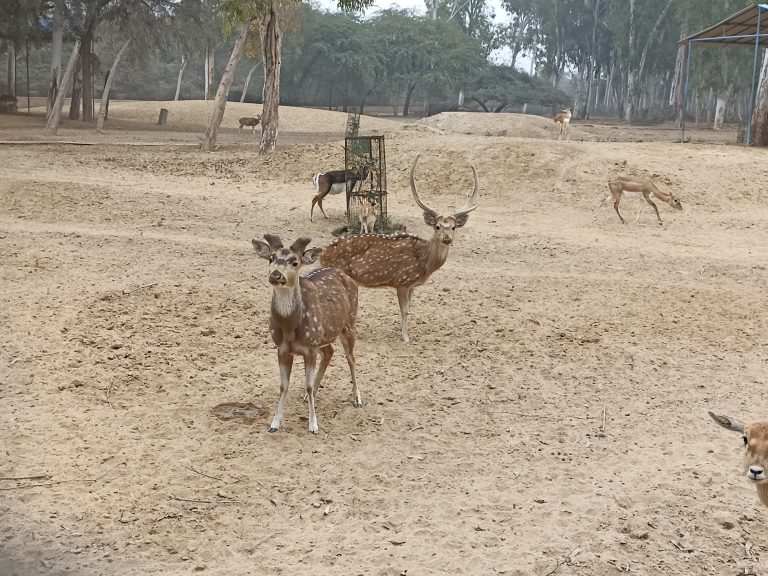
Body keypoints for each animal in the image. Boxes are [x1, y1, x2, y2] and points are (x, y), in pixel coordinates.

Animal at [250, 233, 362, 432]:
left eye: (295, 262)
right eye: (271, 258)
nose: (275, 275)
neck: (290, 329)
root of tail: (346, 276)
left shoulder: (310, 348)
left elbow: (307, 385)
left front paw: (313, 424)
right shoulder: (282, 348)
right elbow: (283, 386)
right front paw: (275, 423)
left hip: (349, 323)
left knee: (351, 358)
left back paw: (357, 399)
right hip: (325, 335)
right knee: (330, 351)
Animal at [316, 153, 474, 342]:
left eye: (453, 227)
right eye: (437, 226)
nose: (447, 238)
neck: (424, 263)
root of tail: (322, 254)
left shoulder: (413, 285)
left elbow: (409, 309)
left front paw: (403, 332)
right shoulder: (402, 281)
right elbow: (404, 310)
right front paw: (405, 337)